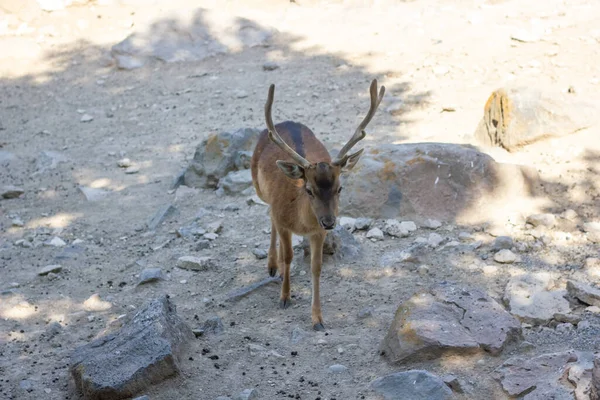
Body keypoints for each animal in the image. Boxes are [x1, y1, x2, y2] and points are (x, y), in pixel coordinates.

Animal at [248, 79, 384, 332]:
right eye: (309, 189)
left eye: (340, 188)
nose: (329, 221)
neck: (302, 223)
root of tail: (286, 121)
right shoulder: (284, 221)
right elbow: (289, 256)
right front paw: (284, 298)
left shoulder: (318, 233)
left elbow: (316, 267)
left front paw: (318, 319)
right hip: (259, 188)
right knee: (269, 215)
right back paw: (273, 266)